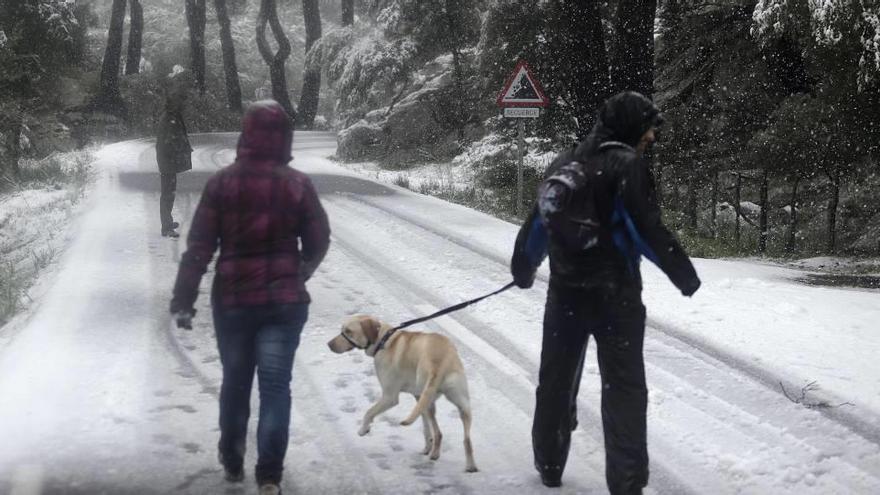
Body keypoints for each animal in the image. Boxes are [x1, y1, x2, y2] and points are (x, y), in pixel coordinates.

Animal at [328, 316, 478, 474]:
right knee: (465, 439)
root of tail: (438, 363)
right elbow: (426, 429)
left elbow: (369, 412)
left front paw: (363, 429)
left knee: (439, 432)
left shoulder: (390, 397)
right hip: (460, 404)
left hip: (429, 400)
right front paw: (427, 447)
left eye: (348, 331)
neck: (384, 339)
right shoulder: (418, 398)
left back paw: (436, 454)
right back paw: (468, 465)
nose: (329, 344)